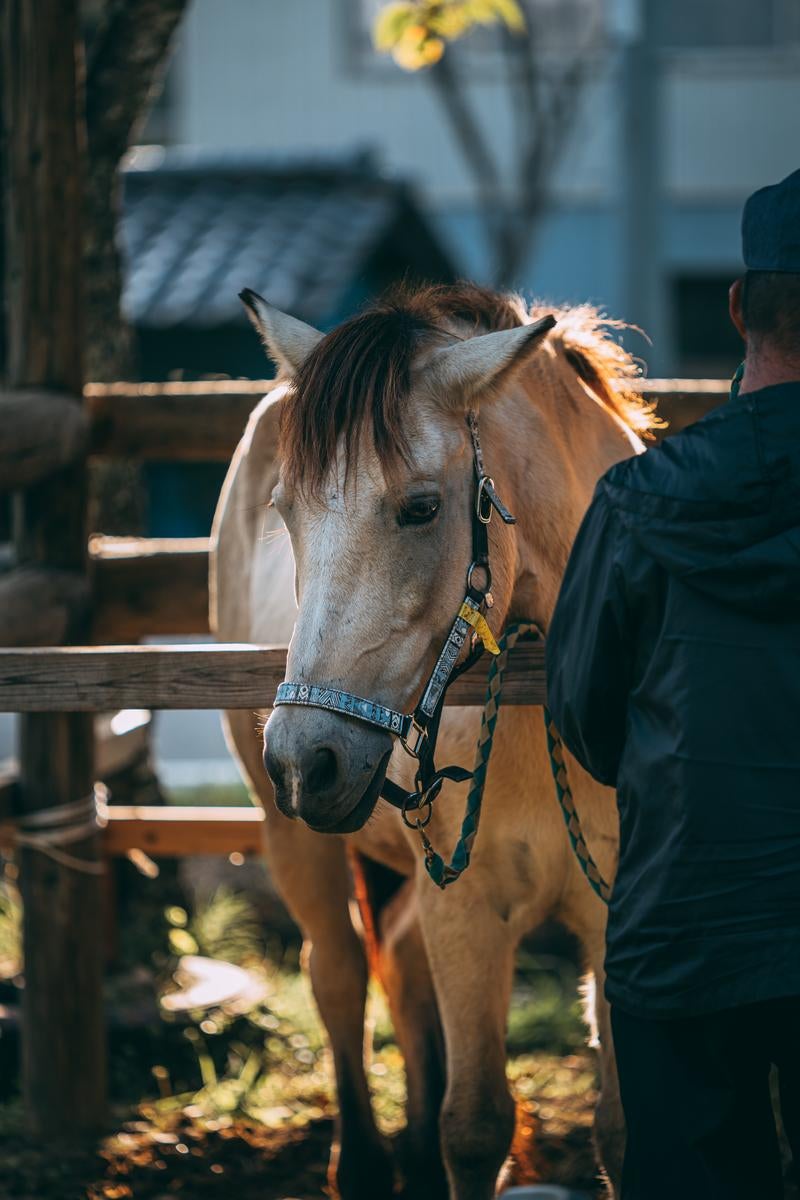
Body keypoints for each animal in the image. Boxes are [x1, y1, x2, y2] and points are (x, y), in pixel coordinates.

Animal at [211, 283, 657, 1200]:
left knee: (400, 970)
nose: (305, 761)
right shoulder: (467, 910)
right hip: (290, 842)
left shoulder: (608, 918)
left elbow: (622, 1129)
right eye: (285, 511)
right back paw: (367, 1164)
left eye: (420, 509)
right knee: (340, 974)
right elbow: (476, 1123)